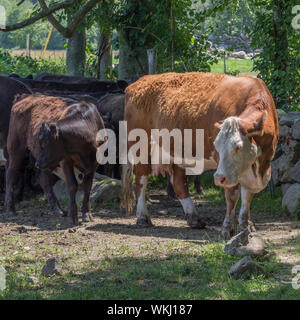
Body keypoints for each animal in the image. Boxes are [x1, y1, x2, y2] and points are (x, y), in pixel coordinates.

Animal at [4, 94, 106, 224]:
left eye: (45, 143)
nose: (38, 163)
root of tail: (25, 97)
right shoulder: (66, 161)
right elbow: (72, 186)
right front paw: (72, 216)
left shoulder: (94, 164)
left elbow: (87, 187)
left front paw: (86, 214)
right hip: (17, 150)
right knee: (11, 175)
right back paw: (10, 209)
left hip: (45, 162)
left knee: (44, 179)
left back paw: (58, 210)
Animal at [120, 72, 278, 238]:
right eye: (216, 145)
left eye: (238, 146)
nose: (218, 178)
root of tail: (139, 82)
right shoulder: (225, 170)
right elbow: (232, 195)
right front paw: (227, 228)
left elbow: (247, 195)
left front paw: (246, 225)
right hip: (141, 147)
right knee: (141, 180)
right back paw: (143, 217)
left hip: (177, 153)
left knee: (179, 183)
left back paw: (194, 219)